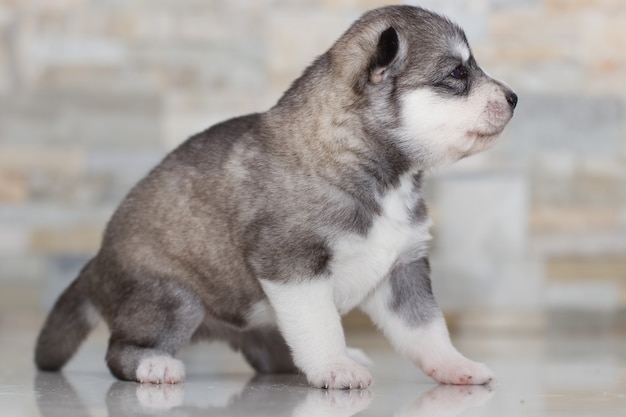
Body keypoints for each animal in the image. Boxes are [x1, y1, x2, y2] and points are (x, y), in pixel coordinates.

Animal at [34, 5, 516, 390]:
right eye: (456, 74)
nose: (514, 97)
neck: (372, 168)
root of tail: (95, 264)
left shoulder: (403, 270)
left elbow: (428, 330)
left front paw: (455, 366)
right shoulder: (293, 265)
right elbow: (322, 324)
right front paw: (335, 368)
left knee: (276, 351)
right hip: (173, 299)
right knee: (119, 350)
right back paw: (154, 365)